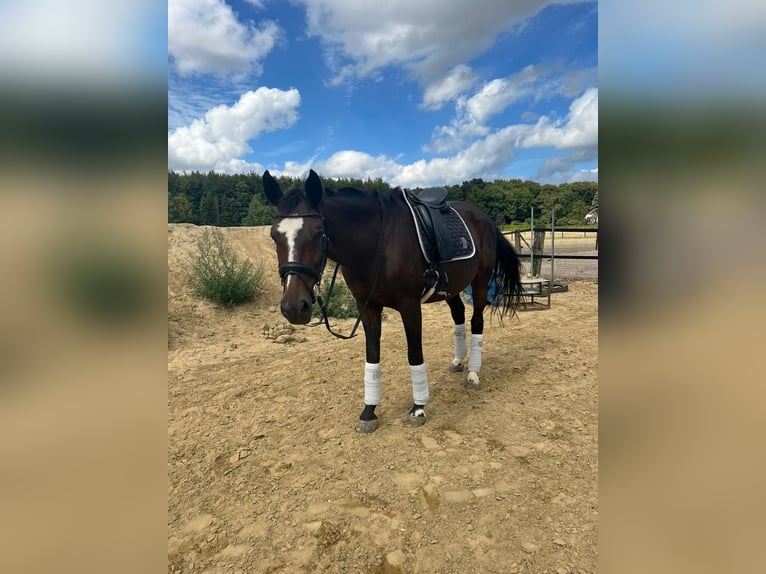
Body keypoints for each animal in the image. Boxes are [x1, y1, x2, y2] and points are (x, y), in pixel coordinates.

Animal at [263, 169, 523, 433]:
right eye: (274, 235)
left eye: (317, 233)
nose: (294, 307)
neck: (376, 244)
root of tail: (484, 218)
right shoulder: (367, 307)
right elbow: (372, 355)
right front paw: (369, 411)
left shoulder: (409, 306)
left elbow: (414, 354)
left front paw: (418, 408)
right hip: (451, 289)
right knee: (459, 315)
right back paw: (458, 361)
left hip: (480, 282)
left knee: (476, 322)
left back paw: (472, 374)